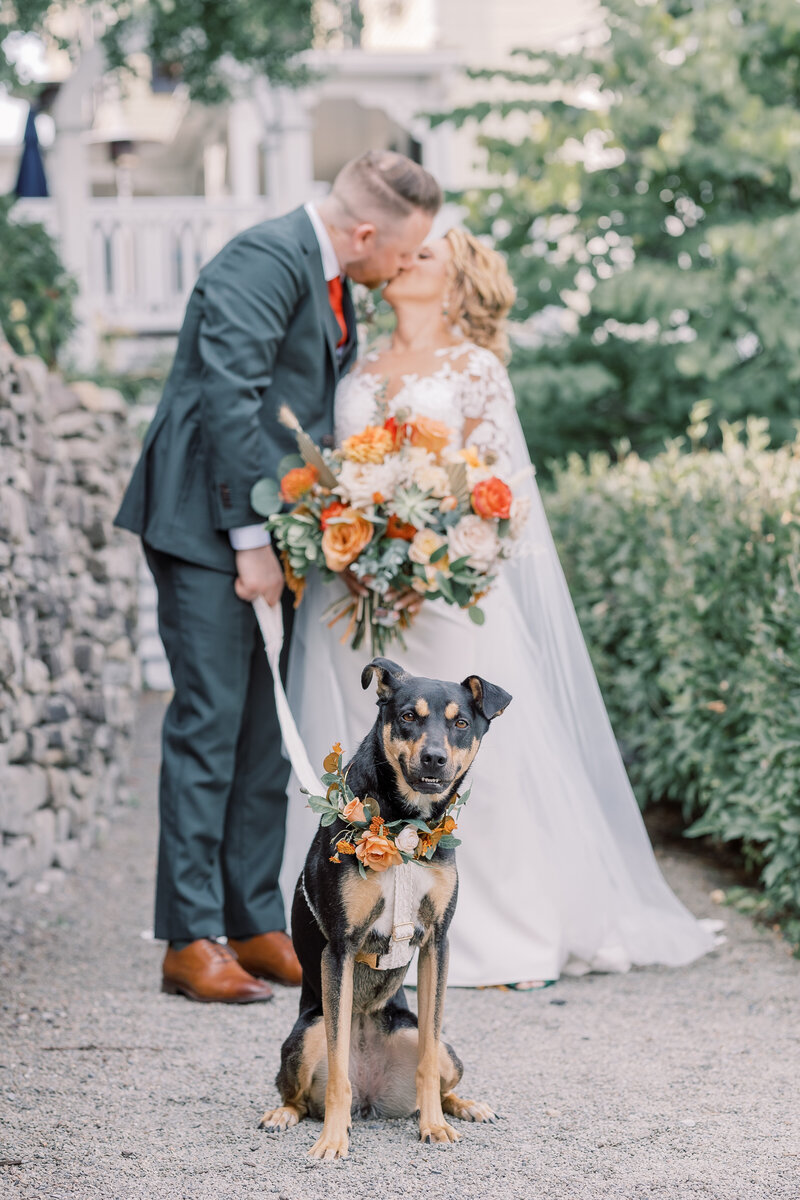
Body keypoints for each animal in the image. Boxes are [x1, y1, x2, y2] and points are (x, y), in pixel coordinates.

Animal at [261, 657, 513, 1161]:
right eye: (408, 716)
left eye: (460, 723)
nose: (434, 758)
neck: (405, 826)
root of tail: (371, 1096)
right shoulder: (339, 949)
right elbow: (337, 1068)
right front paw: (332, 1140)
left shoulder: (437, 942)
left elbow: (428, 1061)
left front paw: (434, 1126)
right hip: (307, 1032)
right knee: (299, 1091)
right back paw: (286, 1114)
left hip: (430, 1042)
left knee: (439, 1071)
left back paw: (464, 1106)